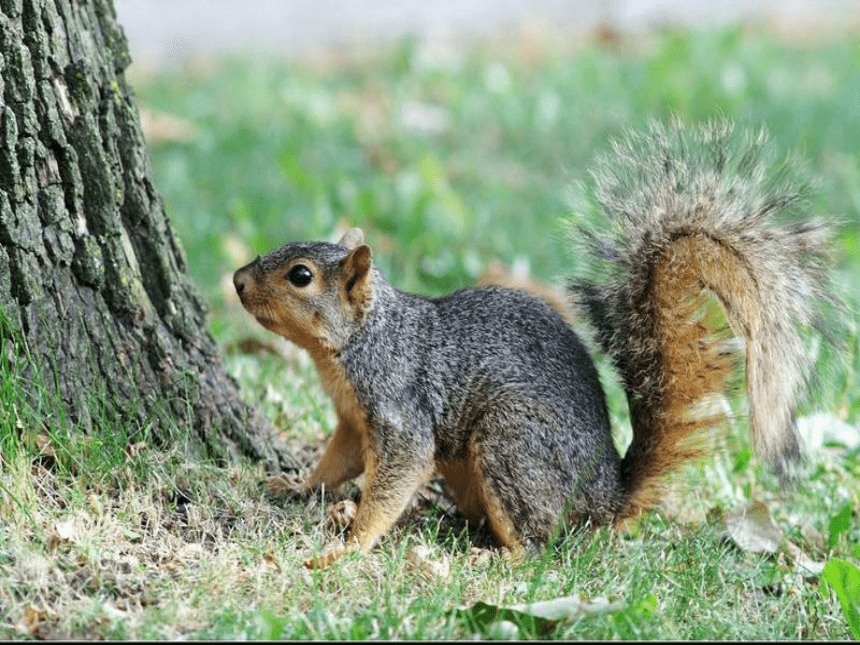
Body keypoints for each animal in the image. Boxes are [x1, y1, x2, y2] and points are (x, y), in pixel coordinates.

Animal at [230, 121, 832, 568]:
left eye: (301, 276)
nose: (236, 280)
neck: (357, 343)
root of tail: (607, 497)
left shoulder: (399, 410)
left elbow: (394, 477)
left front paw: (350, 545)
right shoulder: (355, 421)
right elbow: (338, 462)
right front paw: (296, 486)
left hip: (512, 442)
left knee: (541, 542)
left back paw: (500, 557)